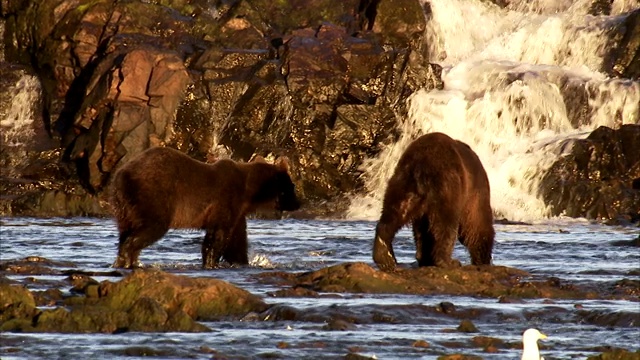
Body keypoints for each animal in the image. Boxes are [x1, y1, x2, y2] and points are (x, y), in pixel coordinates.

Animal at [110, 146, 300, 268]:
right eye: (291, 187)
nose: (298, 203)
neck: (249, 192)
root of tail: (122, 174)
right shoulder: (227, 200)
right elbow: (218, 236)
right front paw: (211, 263)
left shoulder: (238, 212)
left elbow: (236, 241)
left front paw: (240, 261)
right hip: (153, 195)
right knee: (151, 226)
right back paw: (127, 257)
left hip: (123, 207)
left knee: (125, 231)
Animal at [372, 132, 498, 270]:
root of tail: (422, 164)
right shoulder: (475, 190)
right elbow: (476, 225)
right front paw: (482, 258)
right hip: (447, 185)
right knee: (446, 224)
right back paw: (448, 261)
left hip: (403, 182)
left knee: (394, 211)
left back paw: (385, 256)